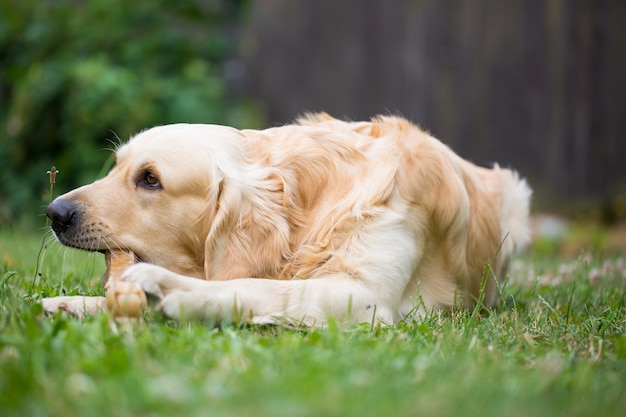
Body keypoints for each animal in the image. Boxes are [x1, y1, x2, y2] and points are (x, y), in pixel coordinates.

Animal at [41, 114, 528, 324]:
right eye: (116, 167)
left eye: (150, 179)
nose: (55, 213)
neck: (306, 210)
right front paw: (73, 303)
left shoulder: (366, 296)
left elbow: (257, 286)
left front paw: (172, 290)